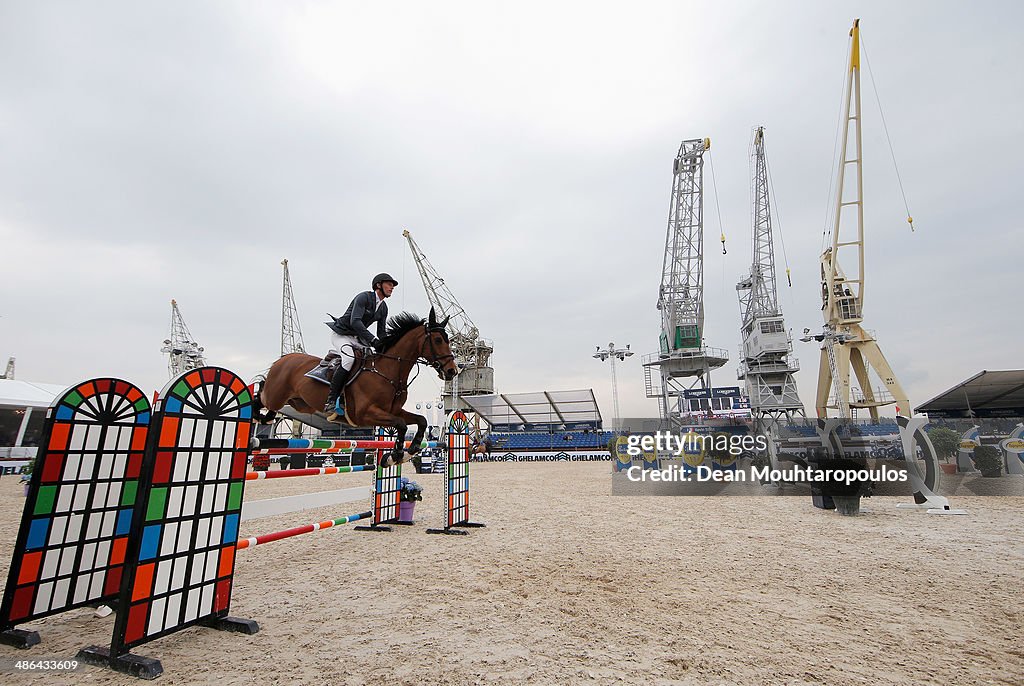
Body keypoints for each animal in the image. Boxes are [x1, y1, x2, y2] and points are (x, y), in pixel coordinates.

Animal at [258, 311, 458, 466]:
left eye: (448, 340)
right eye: (438, 340)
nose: (452, 371)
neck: (388, 371)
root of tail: (283, 359)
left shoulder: (393, 410)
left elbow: (421, 420)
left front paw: (410, 450)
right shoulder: (365, 414)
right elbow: (400, 425)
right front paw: (394, 456)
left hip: (300, 404)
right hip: (275, 397)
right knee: (262, 397)